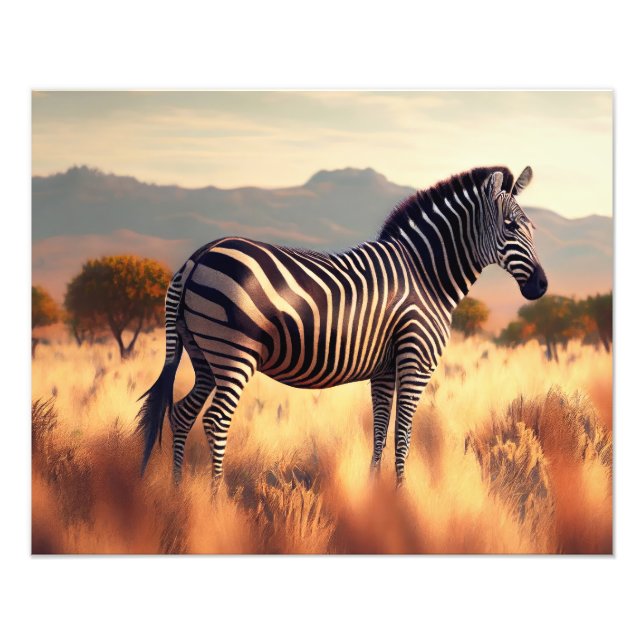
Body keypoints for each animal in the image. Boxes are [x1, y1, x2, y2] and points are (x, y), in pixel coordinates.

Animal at [137, 165, 547, 487]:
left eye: (532, 228)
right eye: (511, 226)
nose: (540, 287)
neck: (425, 274)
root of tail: (198, 256)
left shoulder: (385, 368)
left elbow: (380, 431)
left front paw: (375, 495)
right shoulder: (416, 361)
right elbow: (402, 434)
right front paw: (403, 499)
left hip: (203, 353)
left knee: (182, 413)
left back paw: (179, 495)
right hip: (234, 353)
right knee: (215, 421)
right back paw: (216, 502)